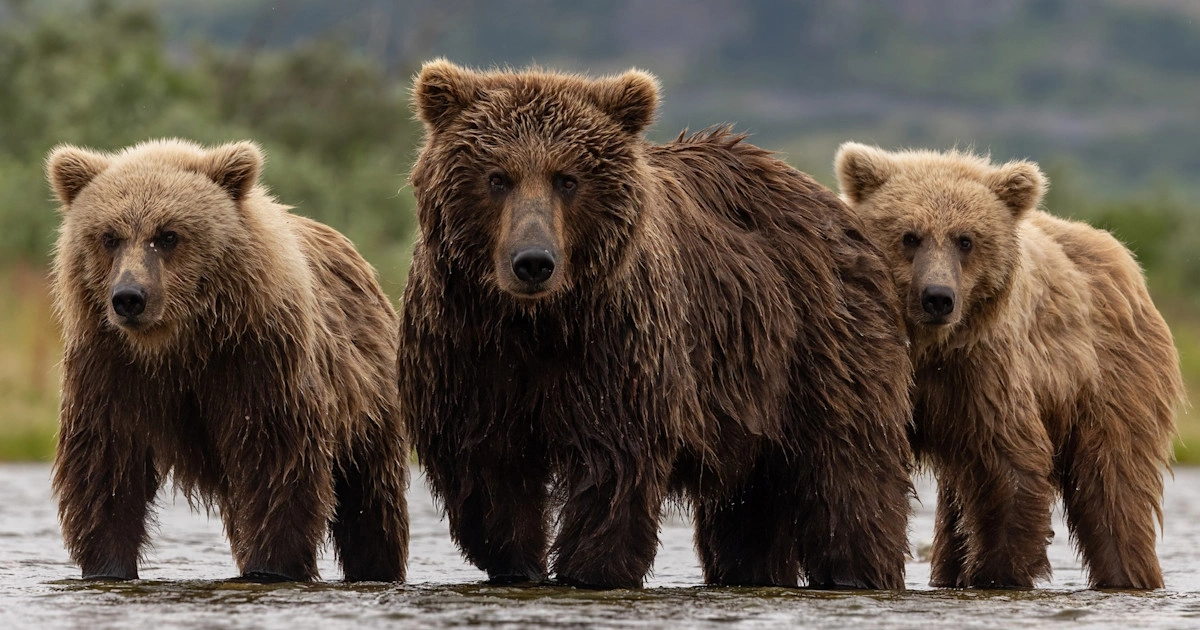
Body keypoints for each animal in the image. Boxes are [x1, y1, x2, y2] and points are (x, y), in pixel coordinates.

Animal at [47, 139, 409, 583]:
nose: (129, 297)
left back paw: (377, 566)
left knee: (371, 499)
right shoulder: (110, 368)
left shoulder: (256, 363)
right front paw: (108, 565)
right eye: (108, 236)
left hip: (368, 398)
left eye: (168, 235)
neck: (180, 344)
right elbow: (106, 466)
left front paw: (272, 566)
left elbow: (276, 466)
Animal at [398, 60, 916, 590]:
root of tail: (827, 201)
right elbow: (488, 470)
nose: (533, 262)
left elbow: (612, 464)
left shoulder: (616, 344)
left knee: (848, 472)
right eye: (497, 176)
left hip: (821, 345)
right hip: (753, 393)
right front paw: (519, 562)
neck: (538, 321)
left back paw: (859, 572)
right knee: (751, 508)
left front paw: (591, 568)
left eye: (568, 178)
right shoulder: (468, 350)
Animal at [834, 142, 1185, 589]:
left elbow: (1010, 464)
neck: (929, 349)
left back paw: (1129, 574)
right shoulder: (884, 366)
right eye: (909, 236)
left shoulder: (983, 370)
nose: (937, 297)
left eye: (966, 240)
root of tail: (1128, 265)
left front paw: (998, 572)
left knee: (1115, 484)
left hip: (1111, 378)